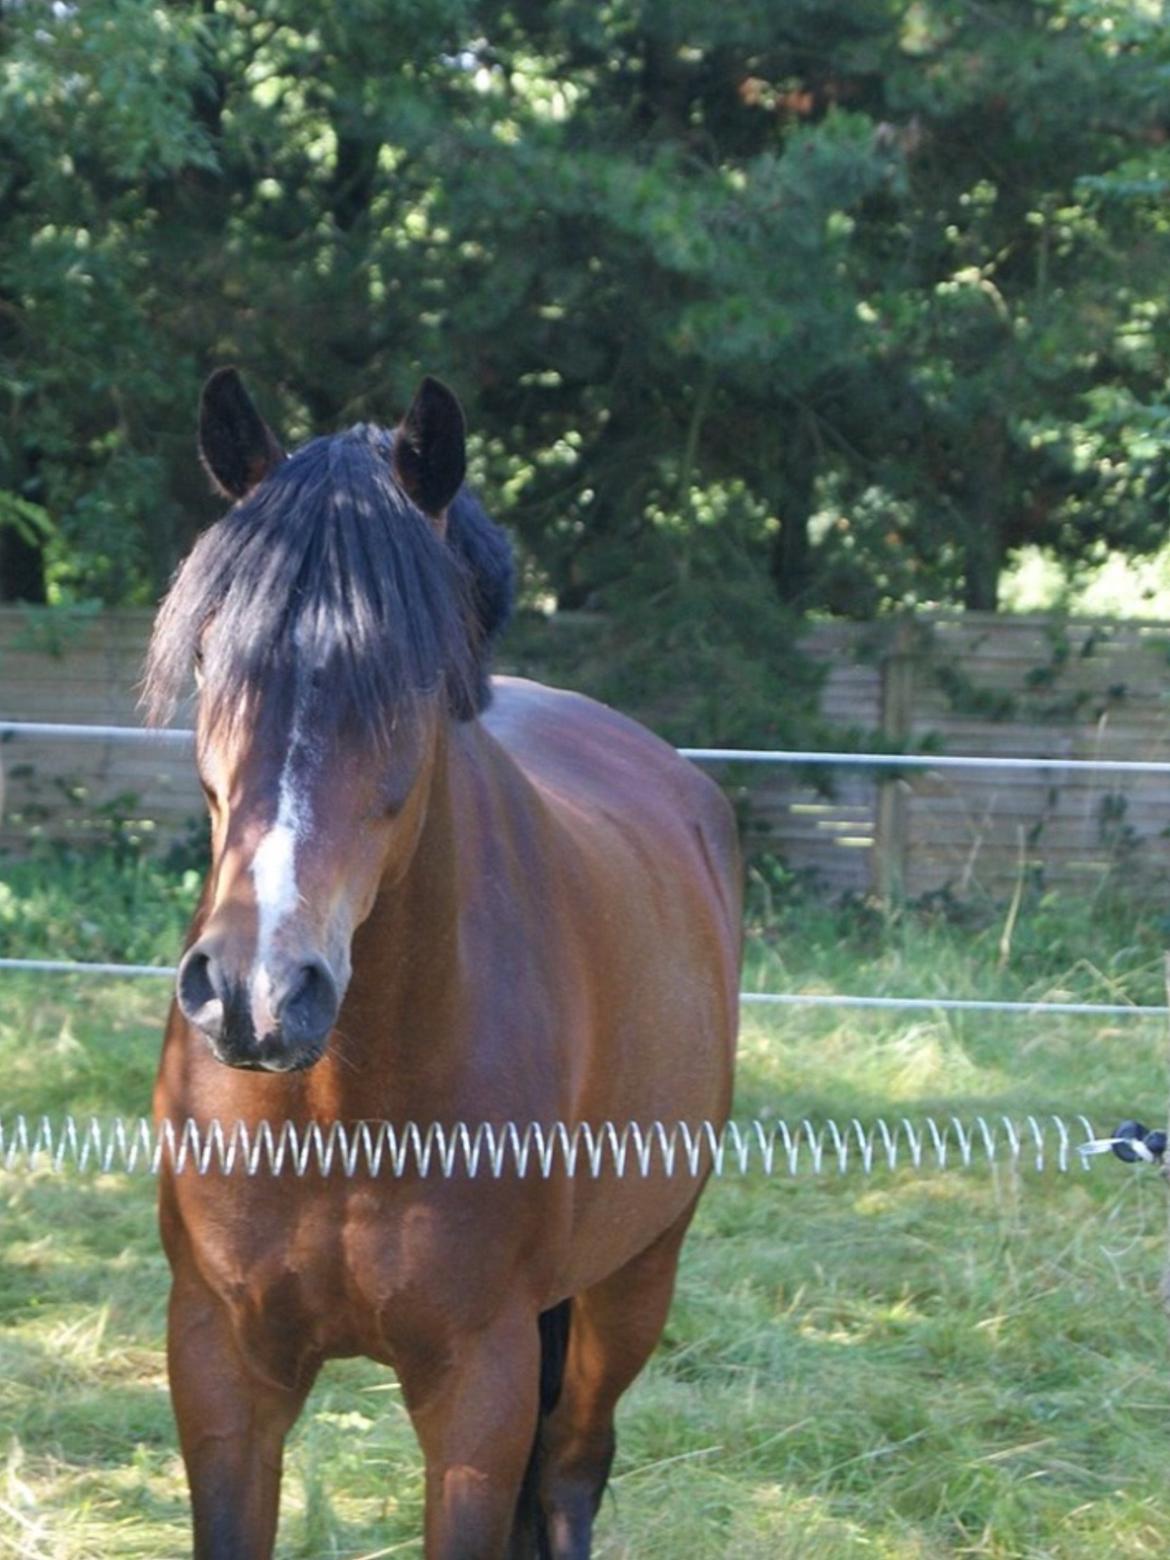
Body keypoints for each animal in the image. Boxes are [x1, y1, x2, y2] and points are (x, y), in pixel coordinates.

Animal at [141, 368, 736, 1560]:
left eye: (407, 677)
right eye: (213, 657)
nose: (256, 993)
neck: (337, 1106)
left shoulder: (478, 1387)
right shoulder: (220, 1366)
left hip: (633, 1283)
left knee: (571, 1475)